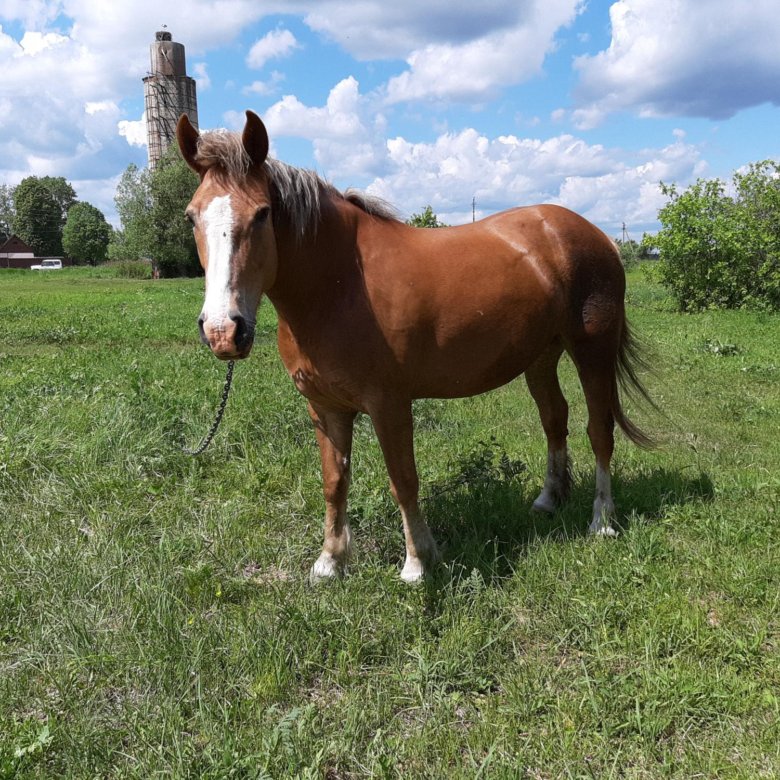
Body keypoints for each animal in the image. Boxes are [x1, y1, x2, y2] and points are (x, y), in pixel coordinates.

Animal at [175, 112, 652, 580]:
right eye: (191, 217)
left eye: (262, 214)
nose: (223, 331)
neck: (340, 284)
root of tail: (598, 236)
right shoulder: (324, 407)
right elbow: (334, 482)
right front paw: (330, 561)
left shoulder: (389, 404)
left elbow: (403, 479)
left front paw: (418, 561)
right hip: (540, 356)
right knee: (555, 420)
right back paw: (548, 501)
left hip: (592, 352)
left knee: (599, 430)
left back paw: (602, 521)